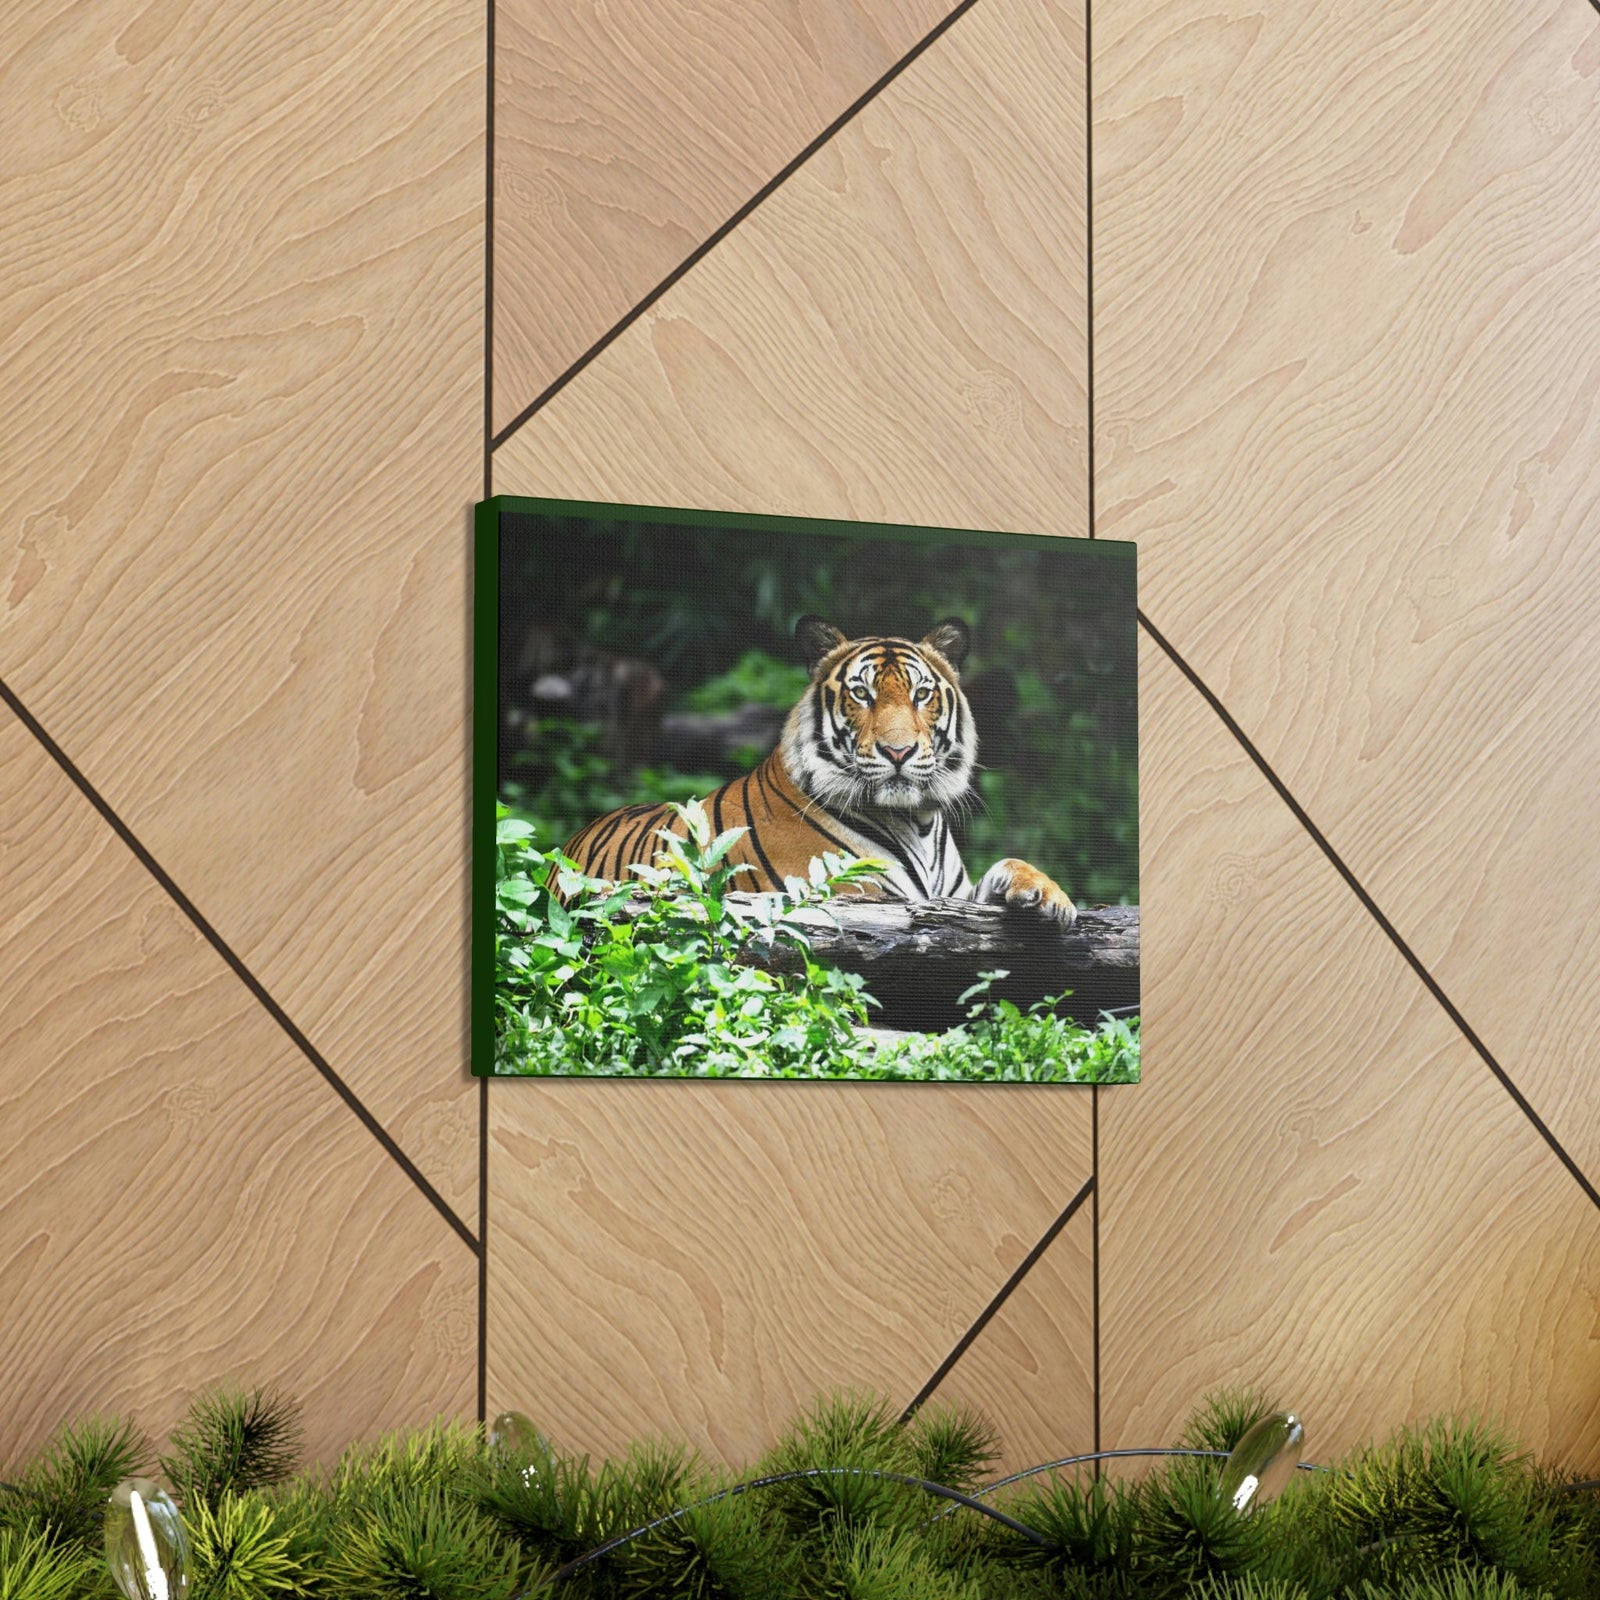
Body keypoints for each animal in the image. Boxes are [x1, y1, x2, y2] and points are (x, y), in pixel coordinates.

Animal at [559, 614, 1077, 926]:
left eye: (921, 694)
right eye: (862, 694)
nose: (899, 752)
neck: (918, 820)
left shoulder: (951, 897)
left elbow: (1007, 867)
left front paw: (1049, 896)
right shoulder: (858, 895)